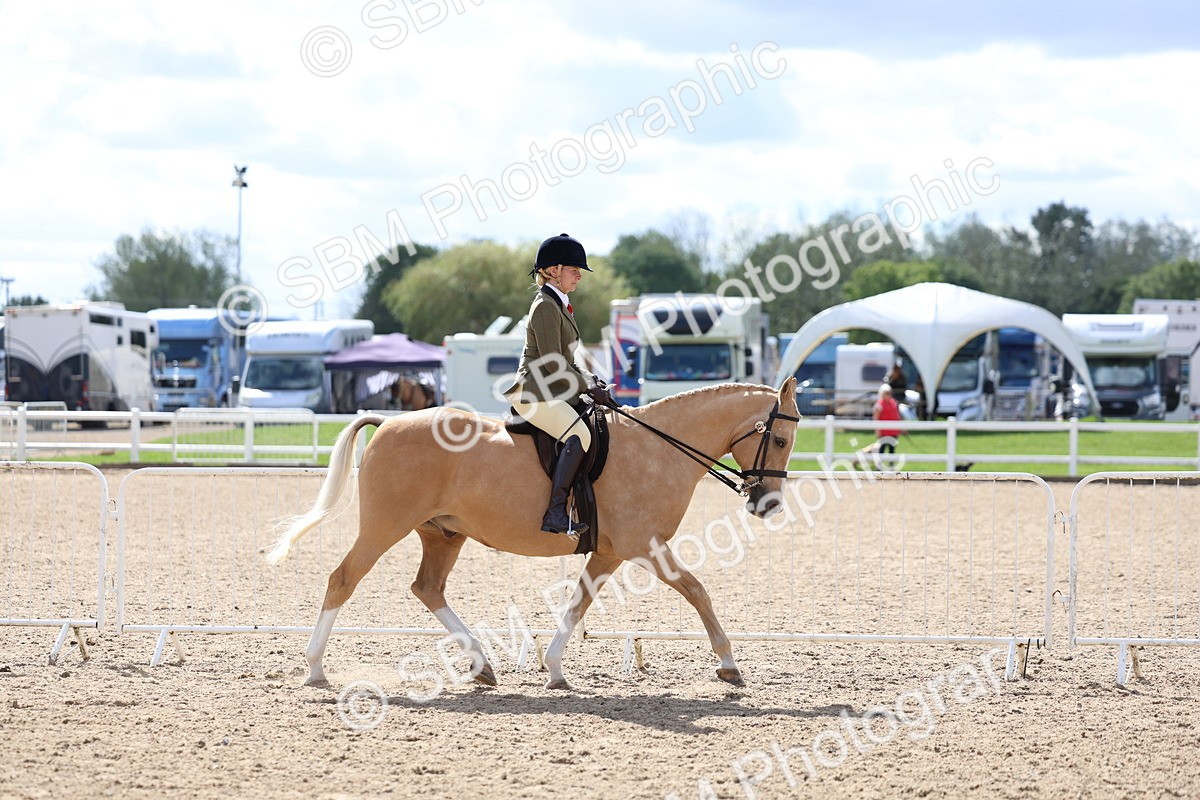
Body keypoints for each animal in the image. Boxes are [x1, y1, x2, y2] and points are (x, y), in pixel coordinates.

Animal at [267, 378, 799, 689]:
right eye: (778, 438)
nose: (767, 503)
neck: (658, 448)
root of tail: (389, 422)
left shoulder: (609, 553)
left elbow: (579, 603)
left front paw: (555, 668)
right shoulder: (645, 546)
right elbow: (697, 591)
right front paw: (728, 665)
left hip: (443, 535)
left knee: (427, 588)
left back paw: (481, 666)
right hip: (384, 527)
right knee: (342, 580)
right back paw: (315, 668)